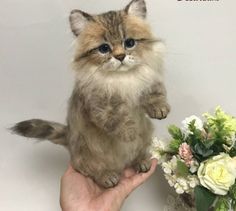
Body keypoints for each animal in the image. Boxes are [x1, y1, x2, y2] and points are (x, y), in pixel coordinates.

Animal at [11, 0, 170, 188]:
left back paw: (142, 161)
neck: (122, 79)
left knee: (137, 154)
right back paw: (108, 177)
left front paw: (160, 110)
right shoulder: (100, 104)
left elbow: (155, 94)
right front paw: (129, 133)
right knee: (90, 169)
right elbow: (118, 119)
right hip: (86, 154)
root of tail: (69, 136)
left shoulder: (148, 81)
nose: (120, 56)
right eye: (104, 48)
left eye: (129, 43)